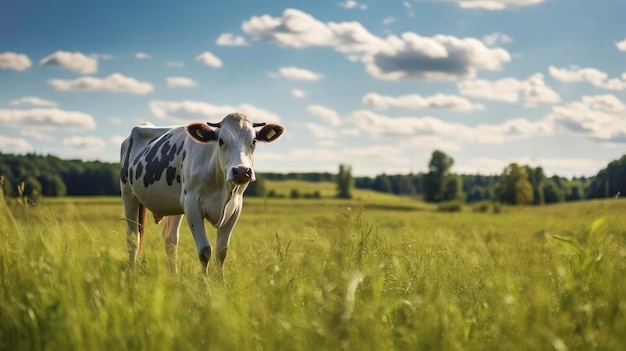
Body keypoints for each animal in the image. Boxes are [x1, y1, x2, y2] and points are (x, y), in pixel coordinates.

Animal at [119, 112, 282, 272]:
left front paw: (220, 280)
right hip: (128, 194)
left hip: (175, 204)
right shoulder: (192, 205)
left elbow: (221, 251)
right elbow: (205, 251)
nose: (241, 171)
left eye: (254, 141)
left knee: (170, 239)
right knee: (133, 239)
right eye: (220, 140)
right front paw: (205, 281)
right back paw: (131, 274)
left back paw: (174, 276)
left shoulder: (235, 207)